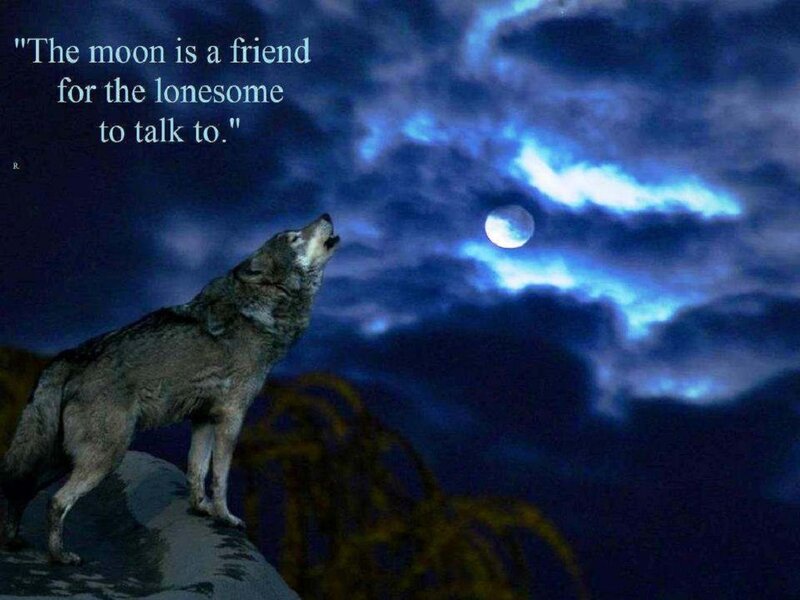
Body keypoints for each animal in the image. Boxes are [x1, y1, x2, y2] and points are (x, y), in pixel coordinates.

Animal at [0, 214, 340, 564]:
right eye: (293, 237)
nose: (326, 215)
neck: (263, 309)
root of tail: (69, 357)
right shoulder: (232, 416)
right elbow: (220, 477)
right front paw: (225, 517)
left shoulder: (203, 419)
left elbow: (196, 469)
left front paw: (200, 509)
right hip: (104, 457)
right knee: (55, 502)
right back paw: (61, 556)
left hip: (60, 459)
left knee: (20, 490)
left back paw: (15, 542)